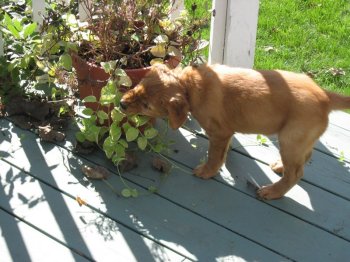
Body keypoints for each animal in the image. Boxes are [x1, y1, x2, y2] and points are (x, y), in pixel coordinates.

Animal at [120, 64, 350, 200]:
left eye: (147, 105)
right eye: (138, 86)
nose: (121, 104)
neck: (190, 86)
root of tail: (325, 96)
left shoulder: (219, 131)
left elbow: (214, 155)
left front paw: (206, 171)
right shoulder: (226, 131)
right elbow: (223, 151)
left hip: (291, 138)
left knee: (296, 173)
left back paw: (272, 191)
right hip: (299, 140)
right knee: (304, 158)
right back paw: (279, 166)